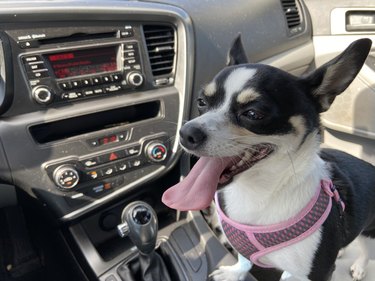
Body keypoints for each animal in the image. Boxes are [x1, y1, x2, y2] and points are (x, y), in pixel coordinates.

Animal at [162, 35, 375, 280]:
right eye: (201, 102)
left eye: (253, 114)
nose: (186, 133)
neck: (257, 193)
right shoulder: (242, 246)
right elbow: (244, 259)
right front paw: (234, 273)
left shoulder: (315, 272)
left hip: (370, 232)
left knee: (366, 249)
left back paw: (359, 266)